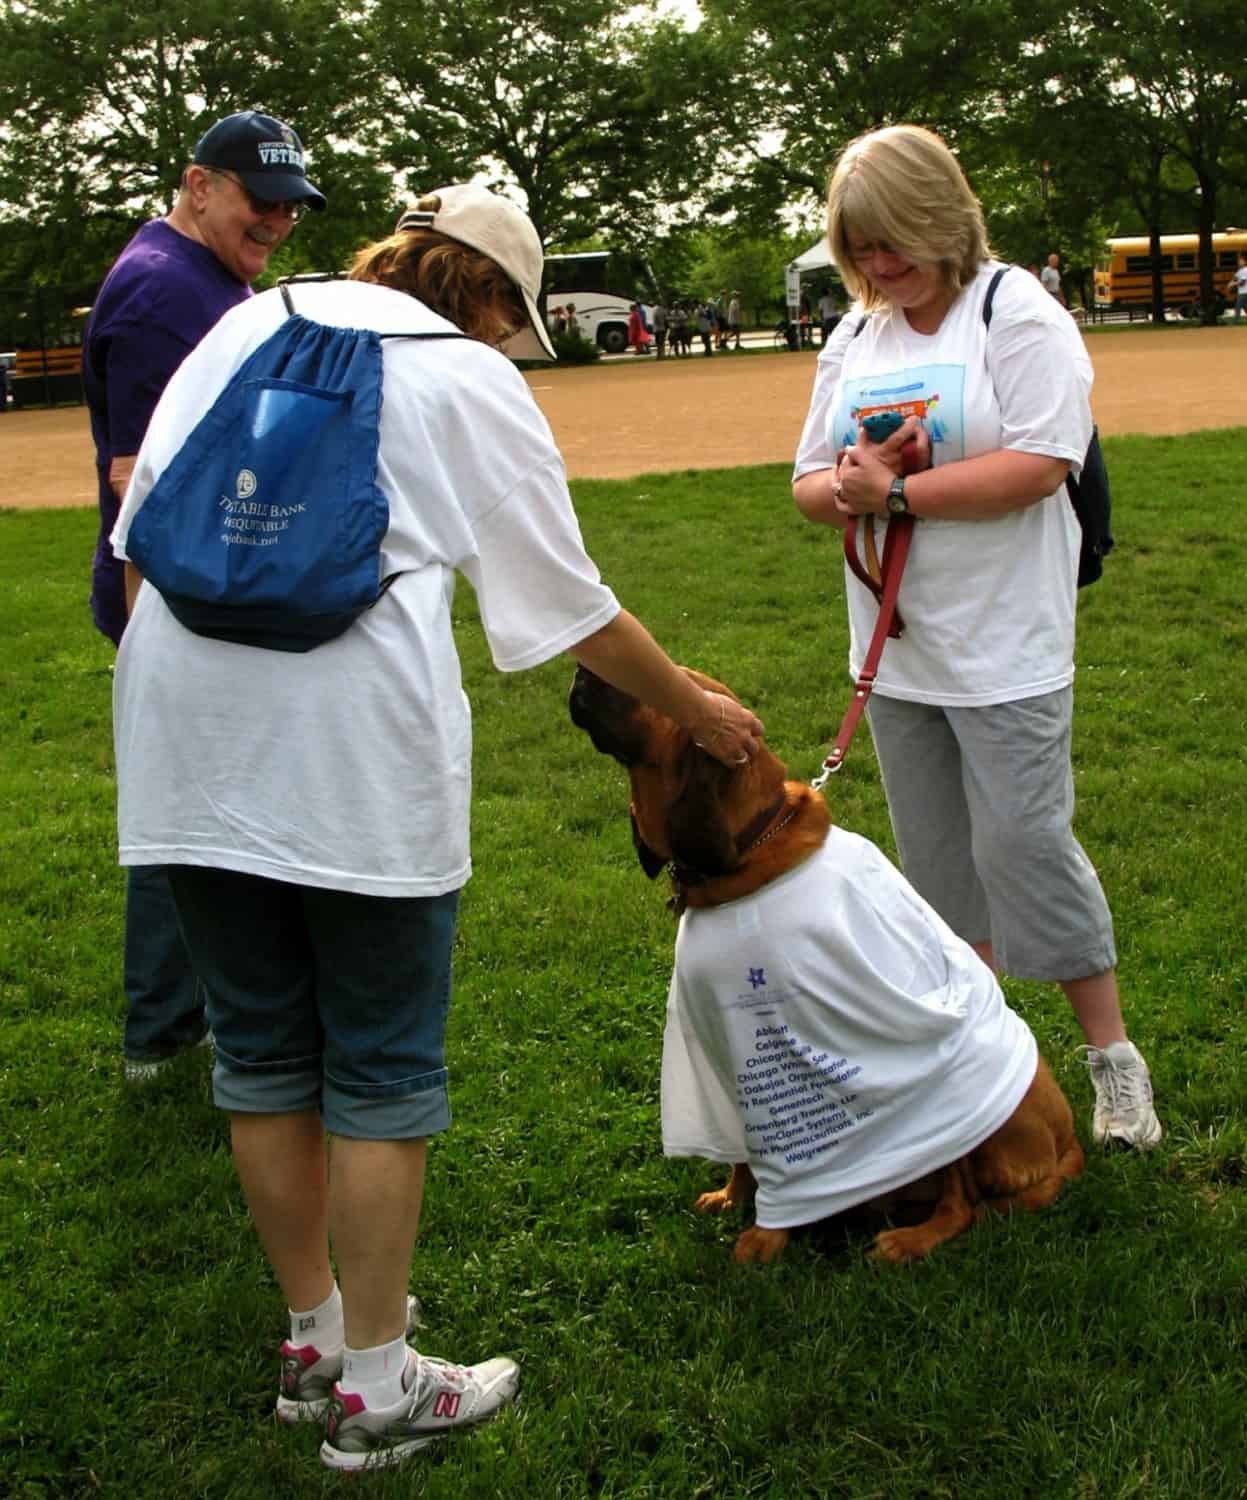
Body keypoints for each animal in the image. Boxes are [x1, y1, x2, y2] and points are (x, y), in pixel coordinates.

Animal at [567, 663, 1080, 1260]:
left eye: (657, 687)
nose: (580, 666)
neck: (747, 854)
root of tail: (1067, 1139)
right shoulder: (726, 1045)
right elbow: (746, 1153)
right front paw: (732, 1197)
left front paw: (766, 1235)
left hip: (964, 1106)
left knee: (962, 1207)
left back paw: (907, 1240)